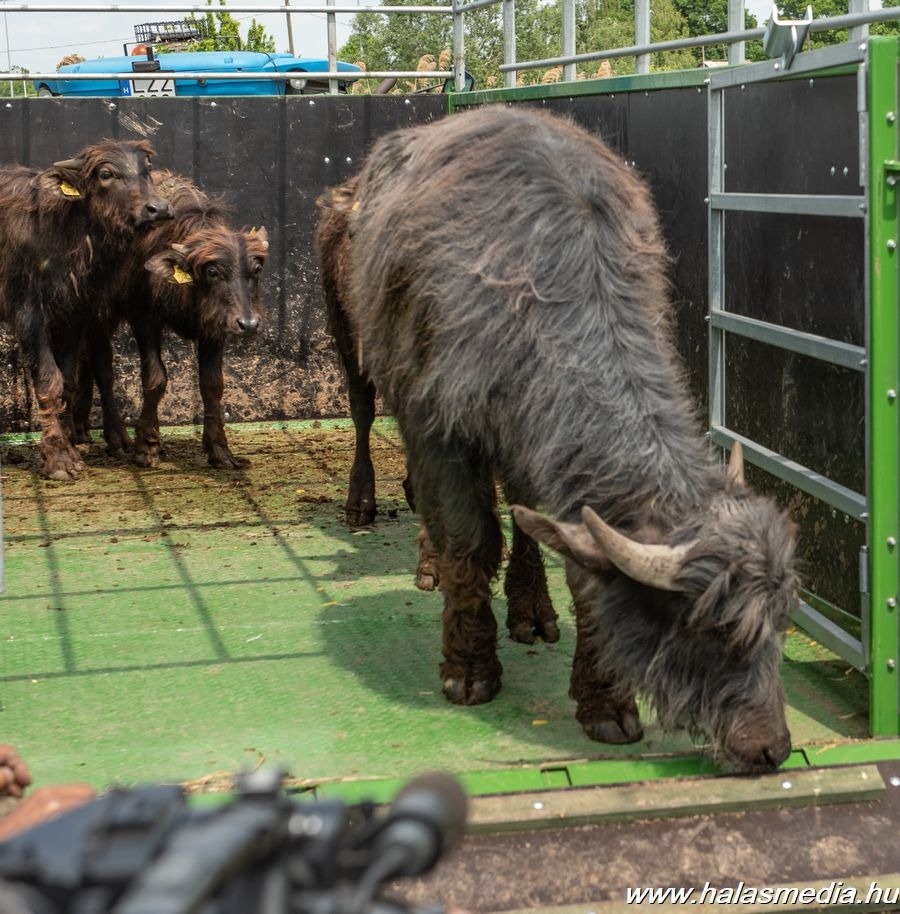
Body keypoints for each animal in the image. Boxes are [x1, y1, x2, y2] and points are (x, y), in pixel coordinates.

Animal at [0, 140, 171, 480]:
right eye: (106, 174)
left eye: (146, 169)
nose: (158, 208)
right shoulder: (29, 315)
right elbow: (49, 382)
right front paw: (58, 460)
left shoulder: (75, 314)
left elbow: (67, 381)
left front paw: (68, 447)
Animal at [74, 170, 269, 470]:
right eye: (212, 271)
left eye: (256, 269)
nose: (248, 324)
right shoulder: (144, 318)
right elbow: (155, 378)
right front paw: (147, 447)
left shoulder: (214, 326)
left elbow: (212, 384)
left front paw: (219, 449)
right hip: (98, 312)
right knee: (103, 367)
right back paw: (117, 438)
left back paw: (81, 428)